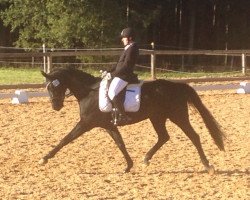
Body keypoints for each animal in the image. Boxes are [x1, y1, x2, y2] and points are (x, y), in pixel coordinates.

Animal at [40, 67, 226, 173]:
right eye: (47, 88)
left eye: (54, 86)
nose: (55, 106)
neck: (89, 92)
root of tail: (178, 86)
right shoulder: (108, 125)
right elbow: (120, 143)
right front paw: (129, 165)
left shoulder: (86, 123)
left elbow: (65, 139)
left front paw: (45, 158)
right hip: (157, 117)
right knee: (163, 137)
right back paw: (146, 158)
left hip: (178, 116)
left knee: (194, 136)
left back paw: (207, 165)